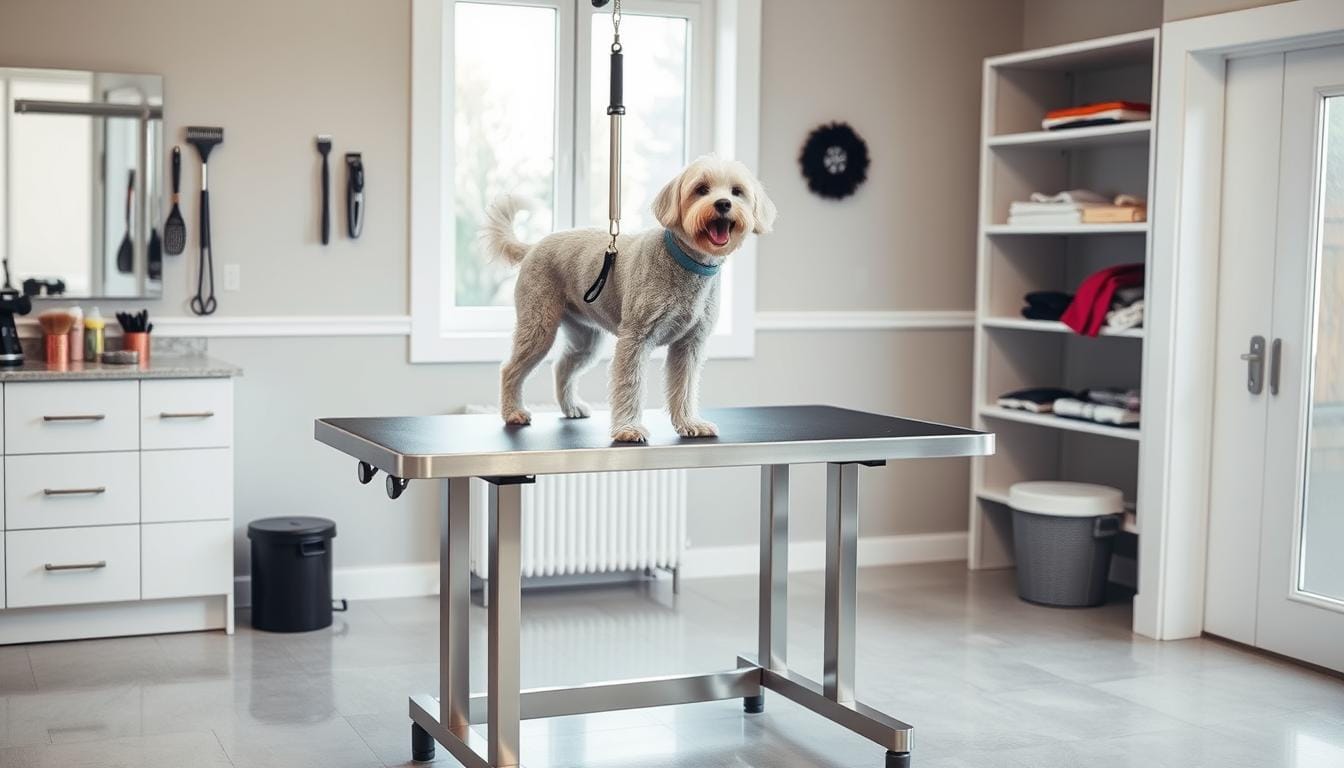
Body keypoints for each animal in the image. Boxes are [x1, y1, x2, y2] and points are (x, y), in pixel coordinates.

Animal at [481, 154, 779, 443]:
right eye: (701, 189)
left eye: (737, 191)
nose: (723, 203)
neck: (684, 263)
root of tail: (532, 248)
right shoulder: (635, 339)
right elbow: (630, 385)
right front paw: (628, 429)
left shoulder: (689, 345)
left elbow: (684, 387)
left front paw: (689, 423)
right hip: (538, 327)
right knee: (510, 369)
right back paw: (513, 411)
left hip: (586, 340)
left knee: (562, 366)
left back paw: (571, 407)